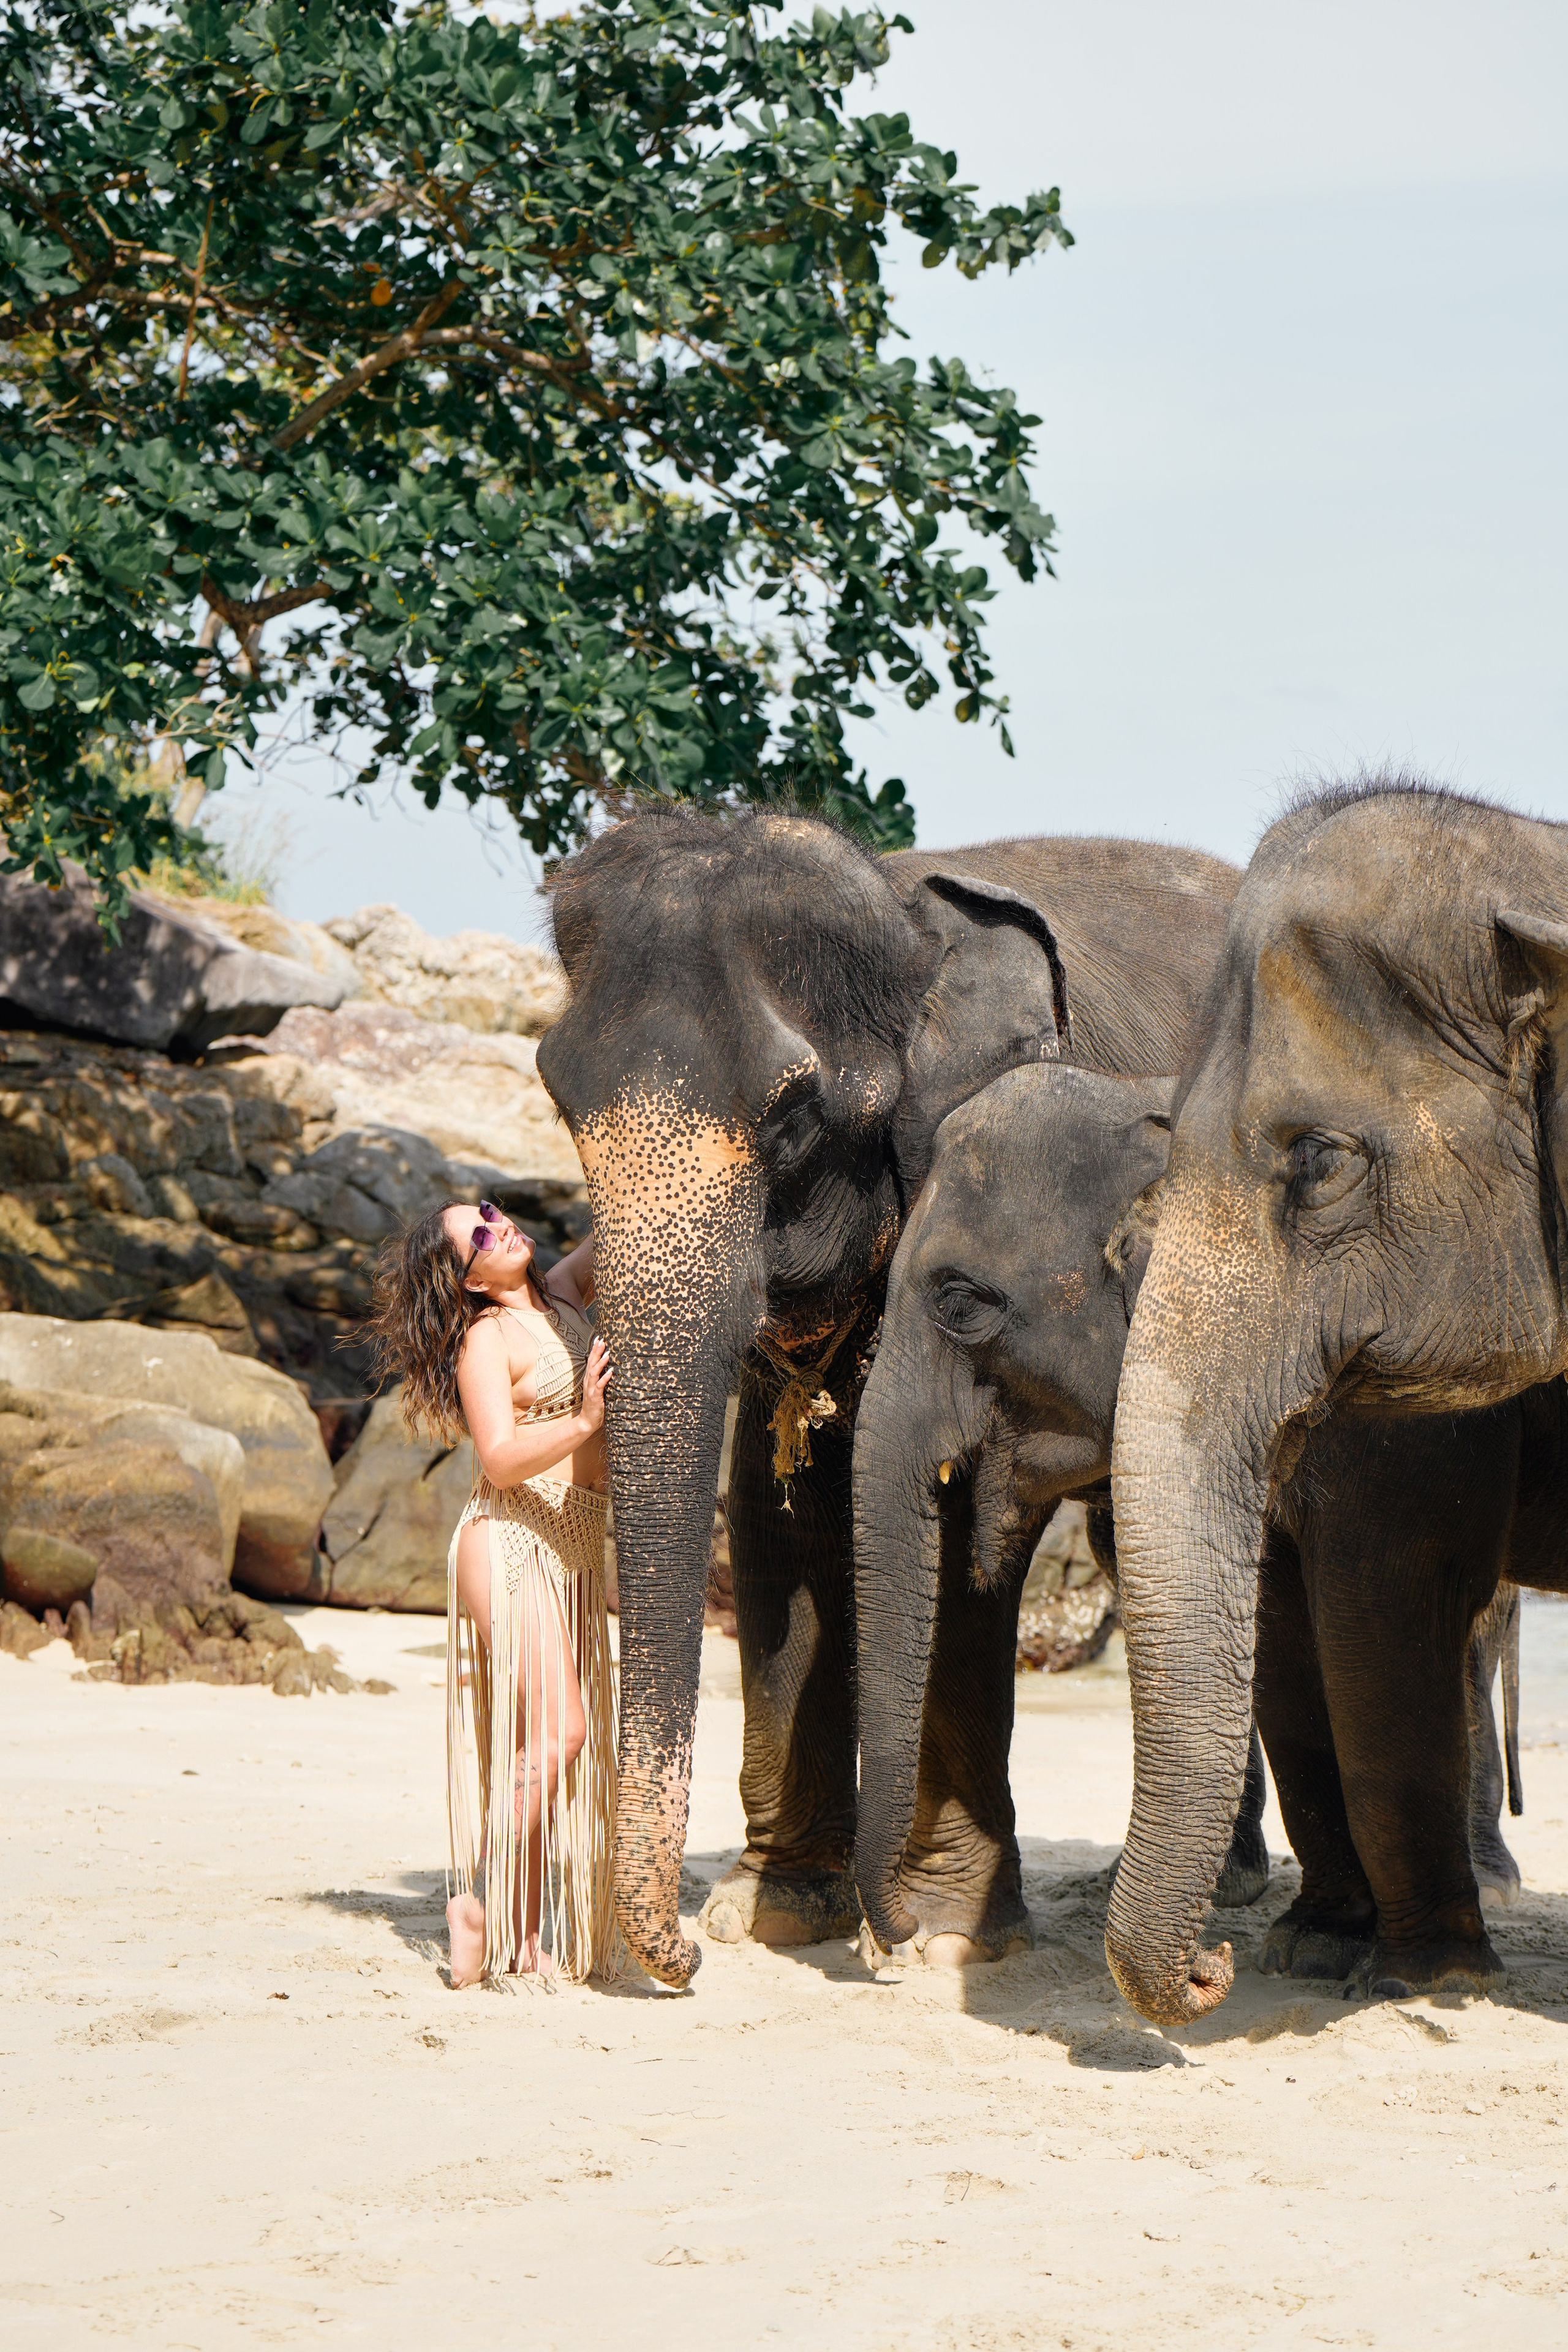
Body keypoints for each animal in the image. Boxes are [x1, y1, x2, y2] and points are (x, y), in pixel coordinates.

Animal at [536, 806, 1240, 1985]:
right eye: (559, 1098)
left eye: (791, 1116)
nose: (678, 1963)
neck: (905, 916)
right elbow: (775, 1511)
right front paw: (771, 1913)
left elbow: (954, 1526)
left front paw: (949, 1936)